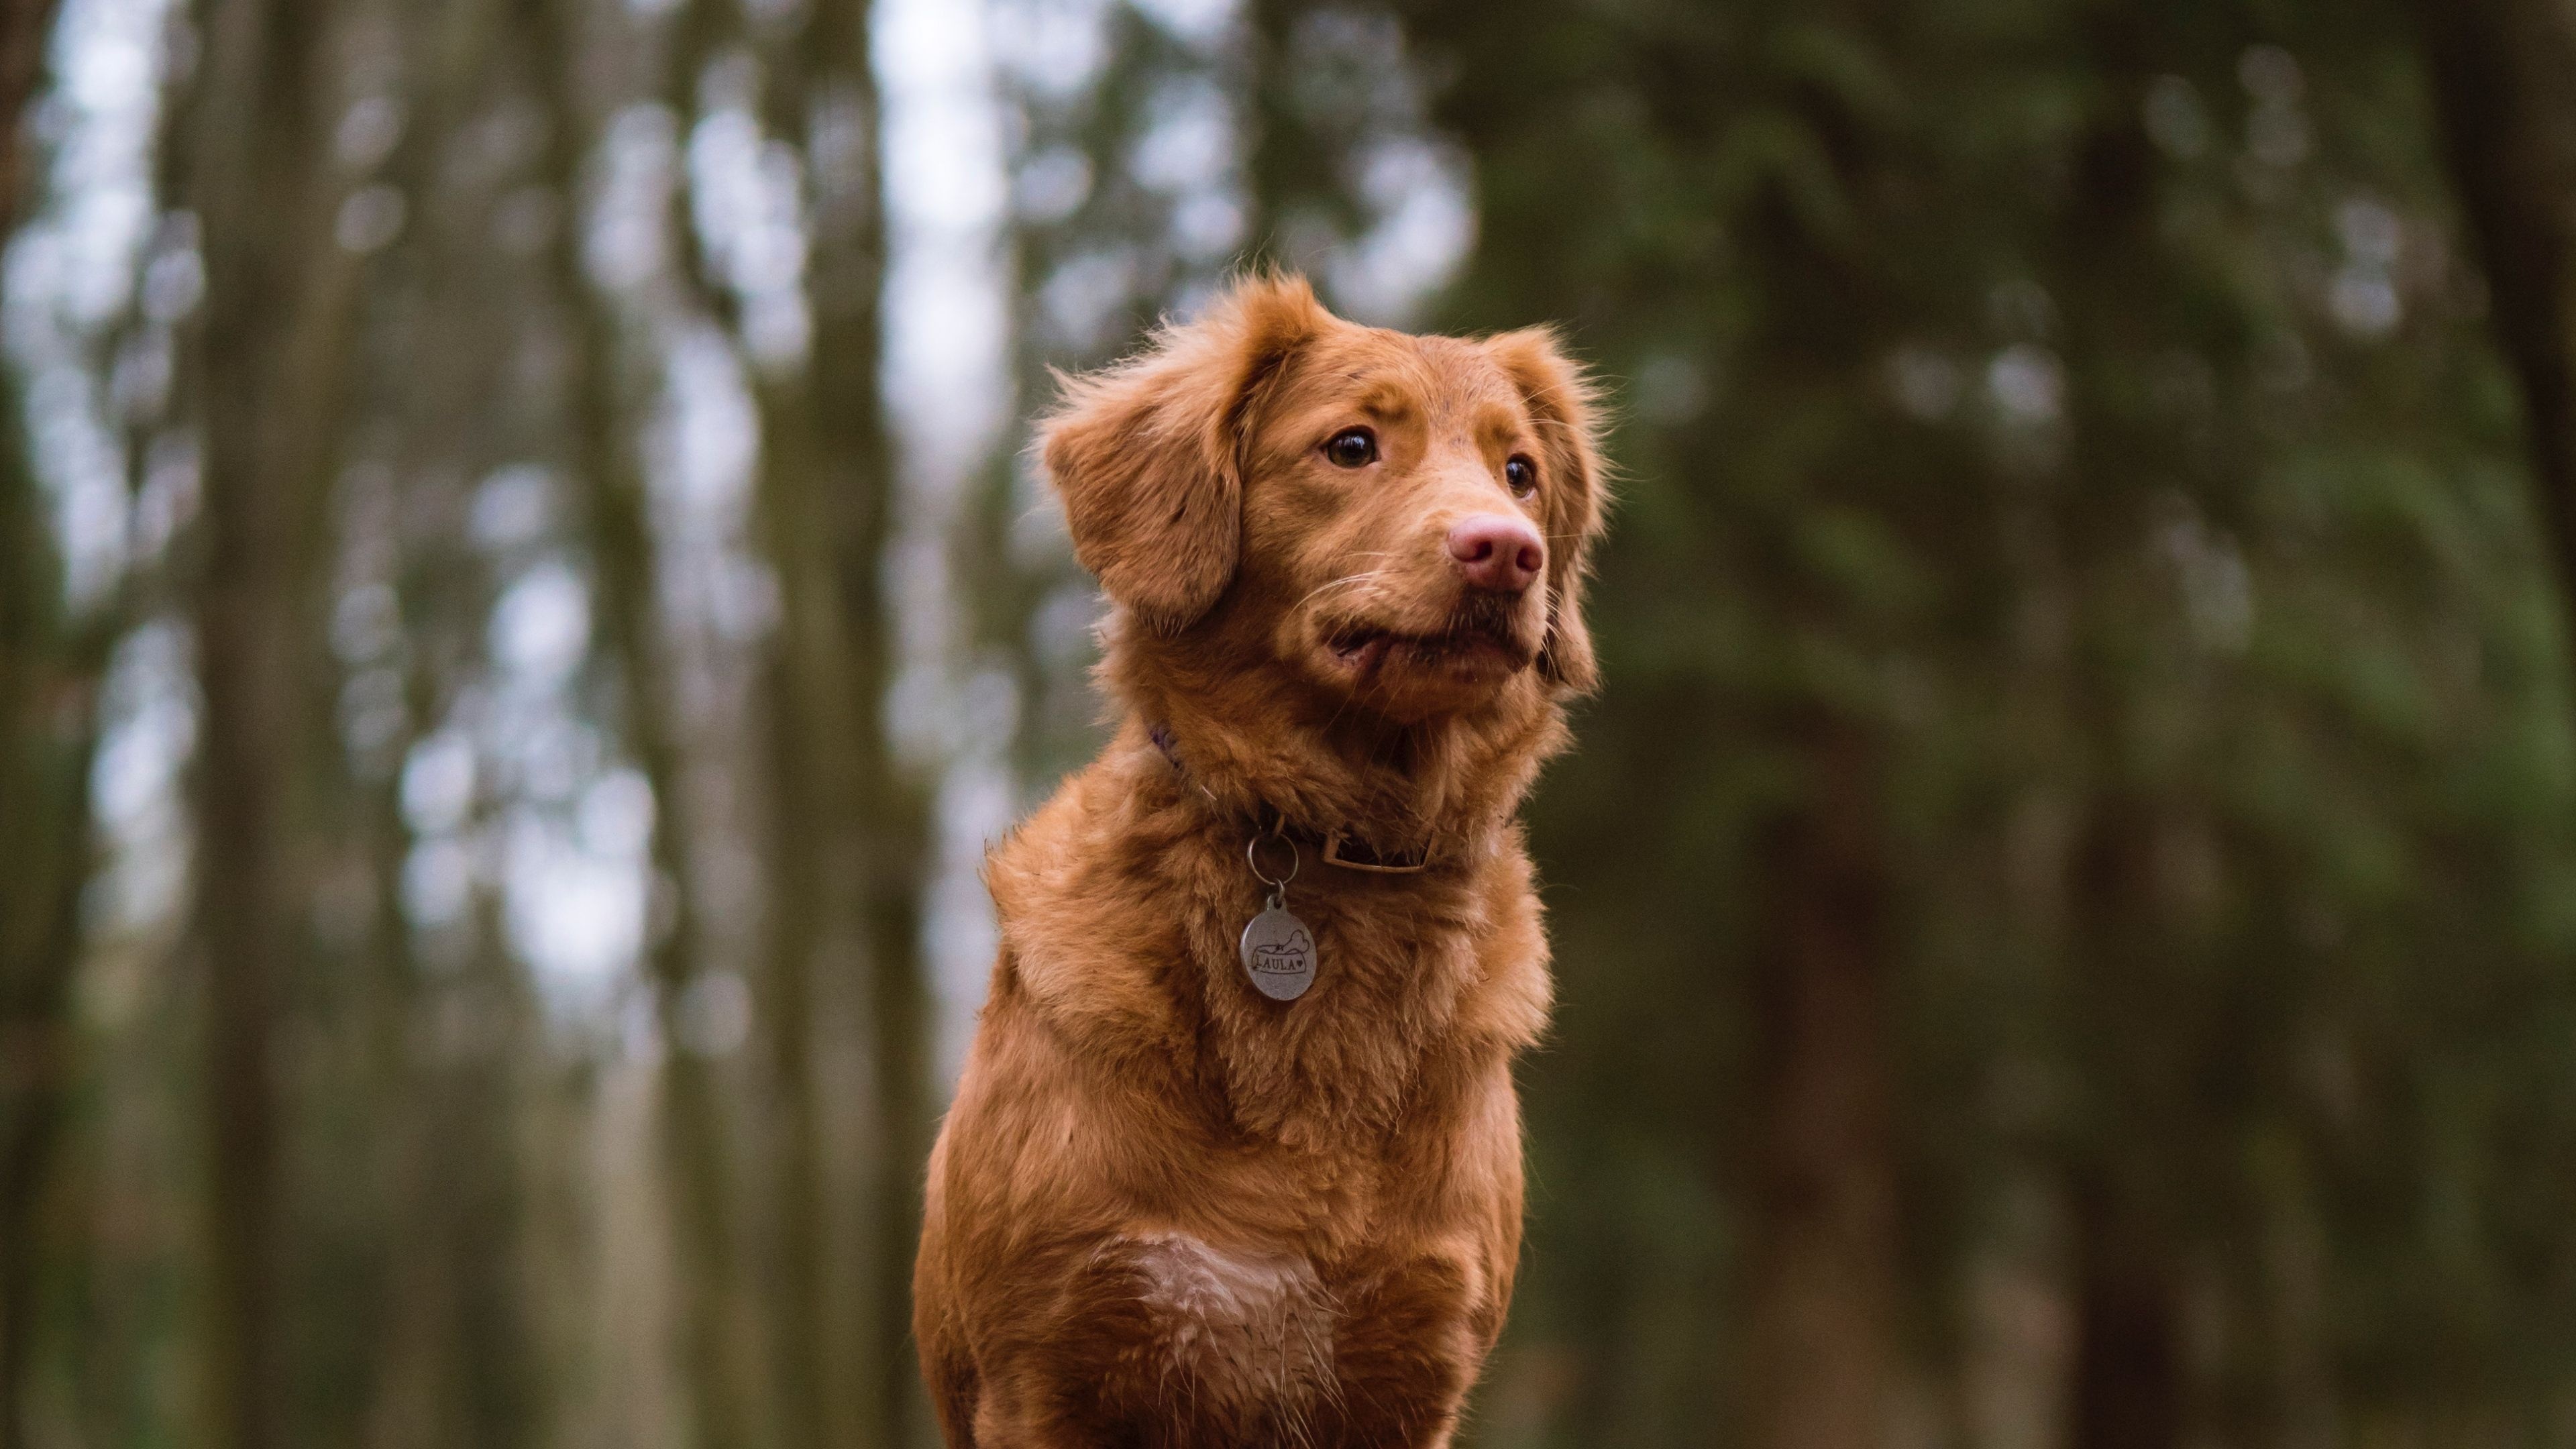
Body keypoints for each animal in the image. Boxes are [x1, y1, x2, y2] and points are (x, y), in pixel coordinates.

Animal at [922, 273, 1607, 1444]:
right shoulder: (1044, 1371)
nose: (1507, 549)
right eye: (1351, 446)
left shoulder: (1410, 1376)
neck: (1336, 848)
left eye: (1520, 471)